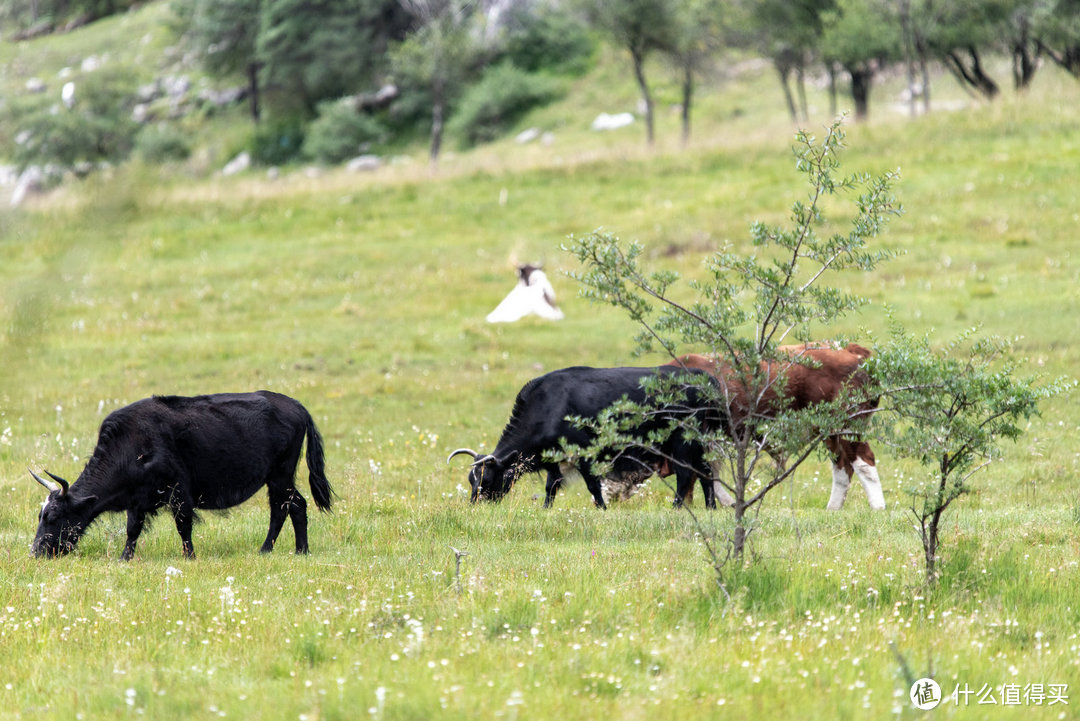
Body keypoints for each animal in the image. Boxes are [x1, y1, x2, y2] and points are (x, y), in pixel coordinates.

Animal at [31, 390, 330, 561]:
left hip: (280, 475)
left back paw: (267, 549)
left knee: (282, 508)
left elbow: (183, 525)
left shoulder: (178, 492)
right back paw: (300, 550)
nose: (35, 553)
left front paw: (189, 557)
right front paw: (125, 558)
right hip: (279, 478)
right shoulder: (137, 499)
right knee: (297, 505)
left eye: (53, 516)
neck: (131, 445)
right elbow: (132, 530)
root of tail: (297, 406)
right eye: (40, 515)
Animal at [447, 366, 725, 507]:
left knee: (686, 473)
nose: (475, 505)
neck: (548, 404)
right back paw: (710, 507)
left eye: (486, 479)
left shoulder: (584, 455)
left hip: (682, 441)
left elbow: (592, 485)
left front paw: (602, 508)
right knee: (705, 472)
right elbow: (551, 487)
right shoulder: (554, 460)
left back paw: (677, 507)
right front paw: (546, 509)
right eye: (471, 479)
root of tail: (704, 379)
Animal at [665, 345, 885, 509]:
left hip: (849, 425)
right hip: (831, 433)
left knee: (864, 461)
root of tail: (850, 350)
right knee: (842, 466)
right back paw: (833, 508)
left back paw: (878, 507)